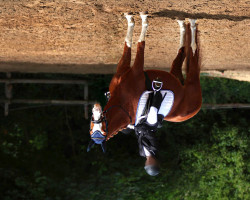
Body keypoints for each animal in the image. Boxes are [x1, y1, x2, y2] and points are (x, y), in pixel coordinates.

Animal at [87, 12, 201, 170]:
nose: (96, 109)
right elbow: (135, 43)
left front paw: (135, 19)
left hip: (184, 81)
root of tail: (195, 110)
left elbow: (133, 43)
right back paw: (188, 24)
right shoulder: (133, 69)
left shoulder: (130, 68)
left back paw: (187, 23)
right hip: (185, 82)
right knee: (187, 53)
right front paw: (137, 19)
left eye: (94, 126)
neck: (123, 103)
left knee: (187, 51)